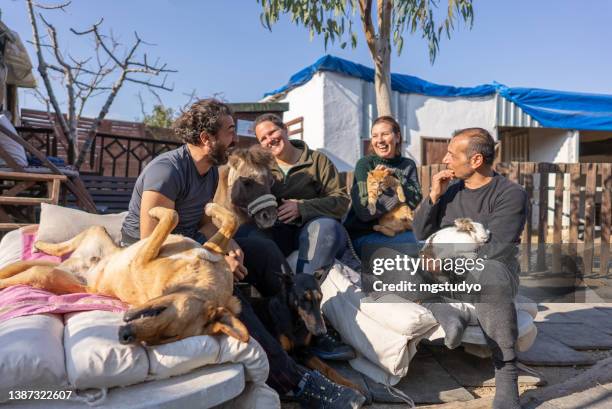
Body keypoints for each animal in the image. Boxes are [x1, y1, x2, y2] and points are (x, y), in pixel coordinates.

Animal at [0, 203, 249, 344]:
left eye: (166, 337)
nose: (125, 337)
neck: (197, 279)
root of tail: (78, 267)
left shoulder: (143, 259)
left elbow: (173, 217)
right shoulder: (209, 247)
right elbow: (230, 220)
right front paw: (211, 208)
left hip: (47, 275)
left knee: (27, 271)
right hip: (95, 233)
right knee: (56, 250)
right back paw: (40, 245)